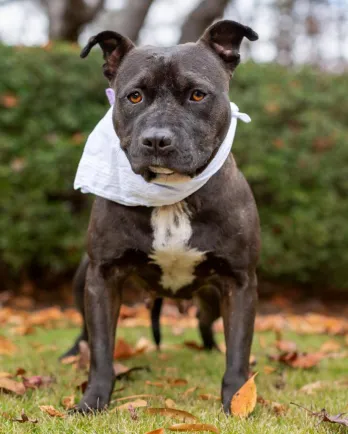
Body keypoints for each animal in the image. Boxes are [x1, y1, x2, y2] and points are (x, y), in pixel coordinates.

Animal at [72, 20, 260, 414]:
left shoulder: (239, 282)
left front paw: (237, 401)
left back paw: (209, 350)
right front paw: (93, 400)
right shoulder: (102, 277)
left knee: (206, 322)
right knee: (83, 333)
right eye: (134, 97)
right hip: (82, 278)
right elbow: (100, 349)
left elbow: (238, 351)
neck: (171, 195)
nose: (157, 139)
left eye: (198, 95)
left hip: (212, 297)